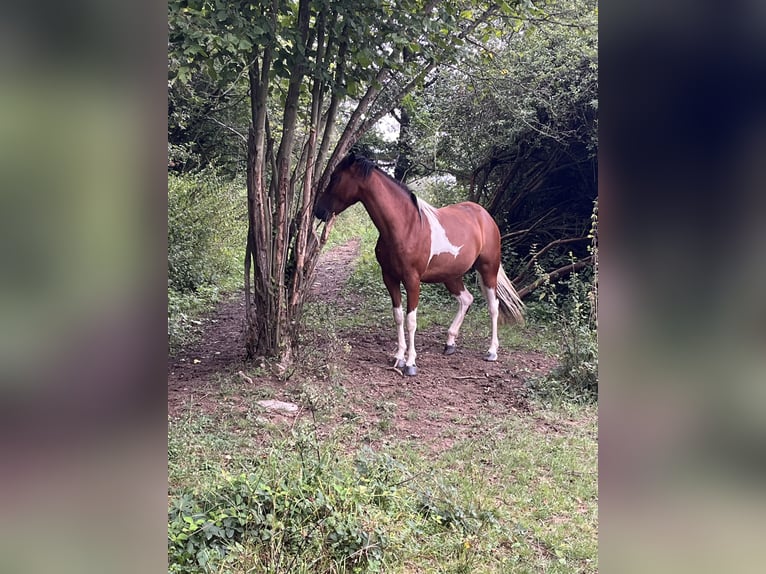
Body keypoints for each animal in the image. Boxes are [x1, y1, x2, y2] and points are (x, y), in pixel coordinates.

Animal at [316, 153, 524, 378]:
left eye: (336, 178)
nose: (319, 211)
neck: (406, 226)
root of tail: (484, 216)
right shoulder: (389, 277)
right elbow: (398, 316)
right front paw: (399, 356)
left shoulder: (412, 280)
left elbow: (411, 321)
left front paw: (410, 363)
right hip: (451, 275)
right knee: (466, 299)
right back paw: (450, 343)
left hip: (488, 269)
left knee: (493, 306)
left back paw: (492, 351)